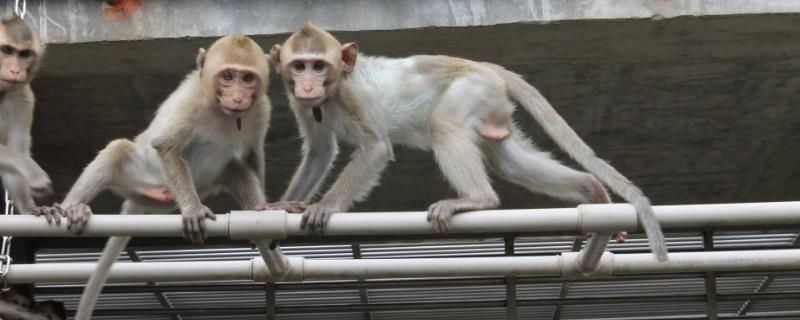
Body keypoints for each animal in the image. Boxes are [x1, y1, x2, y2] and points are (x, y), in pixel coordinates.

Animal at [0, 13, 54, 221]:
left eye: (24, 54)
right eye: (6, 50)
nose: (16, 71)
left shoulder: (23, 98)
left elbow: (15, 149)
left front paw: (30, 208)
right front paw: (32, 171)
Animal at [55, 35, 304, 320]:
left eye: (248, 78)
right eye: (228, 76)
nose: (239, 97)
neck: (220, 110)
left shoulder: (261, 107)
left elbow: (253, 152)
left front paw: (266, 212)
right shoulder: (190, 102)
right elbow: (166, 145)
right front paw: (193, 210)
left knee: (236, 168)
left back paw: (258, 207)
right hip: (143, 177)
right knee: (118, 150)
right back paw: (72, 208)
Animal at [276, 23, 668, 262]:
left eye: (318, 65)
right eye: (299, 66)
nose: (307, 85)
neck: (333, 91)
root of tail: (486, 66)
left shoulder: (353, 94)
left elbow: (375, 149)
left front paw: (325, 206)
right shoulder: (298, 103)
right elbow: (320, 151)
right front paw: (281, 205)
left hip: (471, 89)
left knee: (444, 124)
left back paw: (478, 199)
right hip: (492, 108)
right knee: (509, 162)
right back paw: (592, 190)